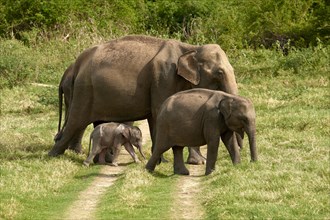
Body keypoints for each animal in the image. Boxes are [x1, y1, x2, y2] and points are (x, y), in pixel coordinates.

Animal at [48, 34, 237, 156]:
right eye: (220, 73)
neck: (191, 48)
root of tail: (79, 63)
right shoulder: (163, 78)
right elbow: (158, 112)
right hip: (85, 91)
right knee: (76, 121)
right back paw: (54, 154)